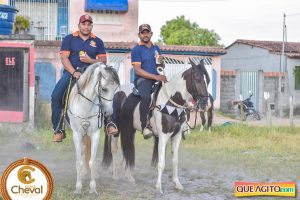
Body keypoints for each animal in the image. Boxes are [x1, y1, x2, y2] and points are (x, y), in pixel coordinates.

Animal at [68, 61, 119, 195]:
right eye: (104, 89)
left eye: (116, 89)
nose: (109, 113)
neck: (85, 105)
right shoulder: (77, 135)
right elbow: (79, 162)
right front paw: (78, 189)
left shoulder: (95, 134)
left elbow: (92, 162)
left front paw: (93, 189)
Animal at [102, 58, 209, 193]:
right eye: (197, 78)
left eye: (207, 80)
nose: (205, 104)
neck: (171, 102)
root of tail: (117, 92)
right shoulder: (163, 136)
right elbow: (161, 162)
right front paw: (158, 187)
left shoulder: (177, 136)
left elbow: (175, 160)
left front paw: (177, 183)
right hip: (117, 129)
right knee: (114, 149)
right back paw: (115, 175)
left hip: (130, 129)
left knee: (128, 149)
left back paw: (129, 177)